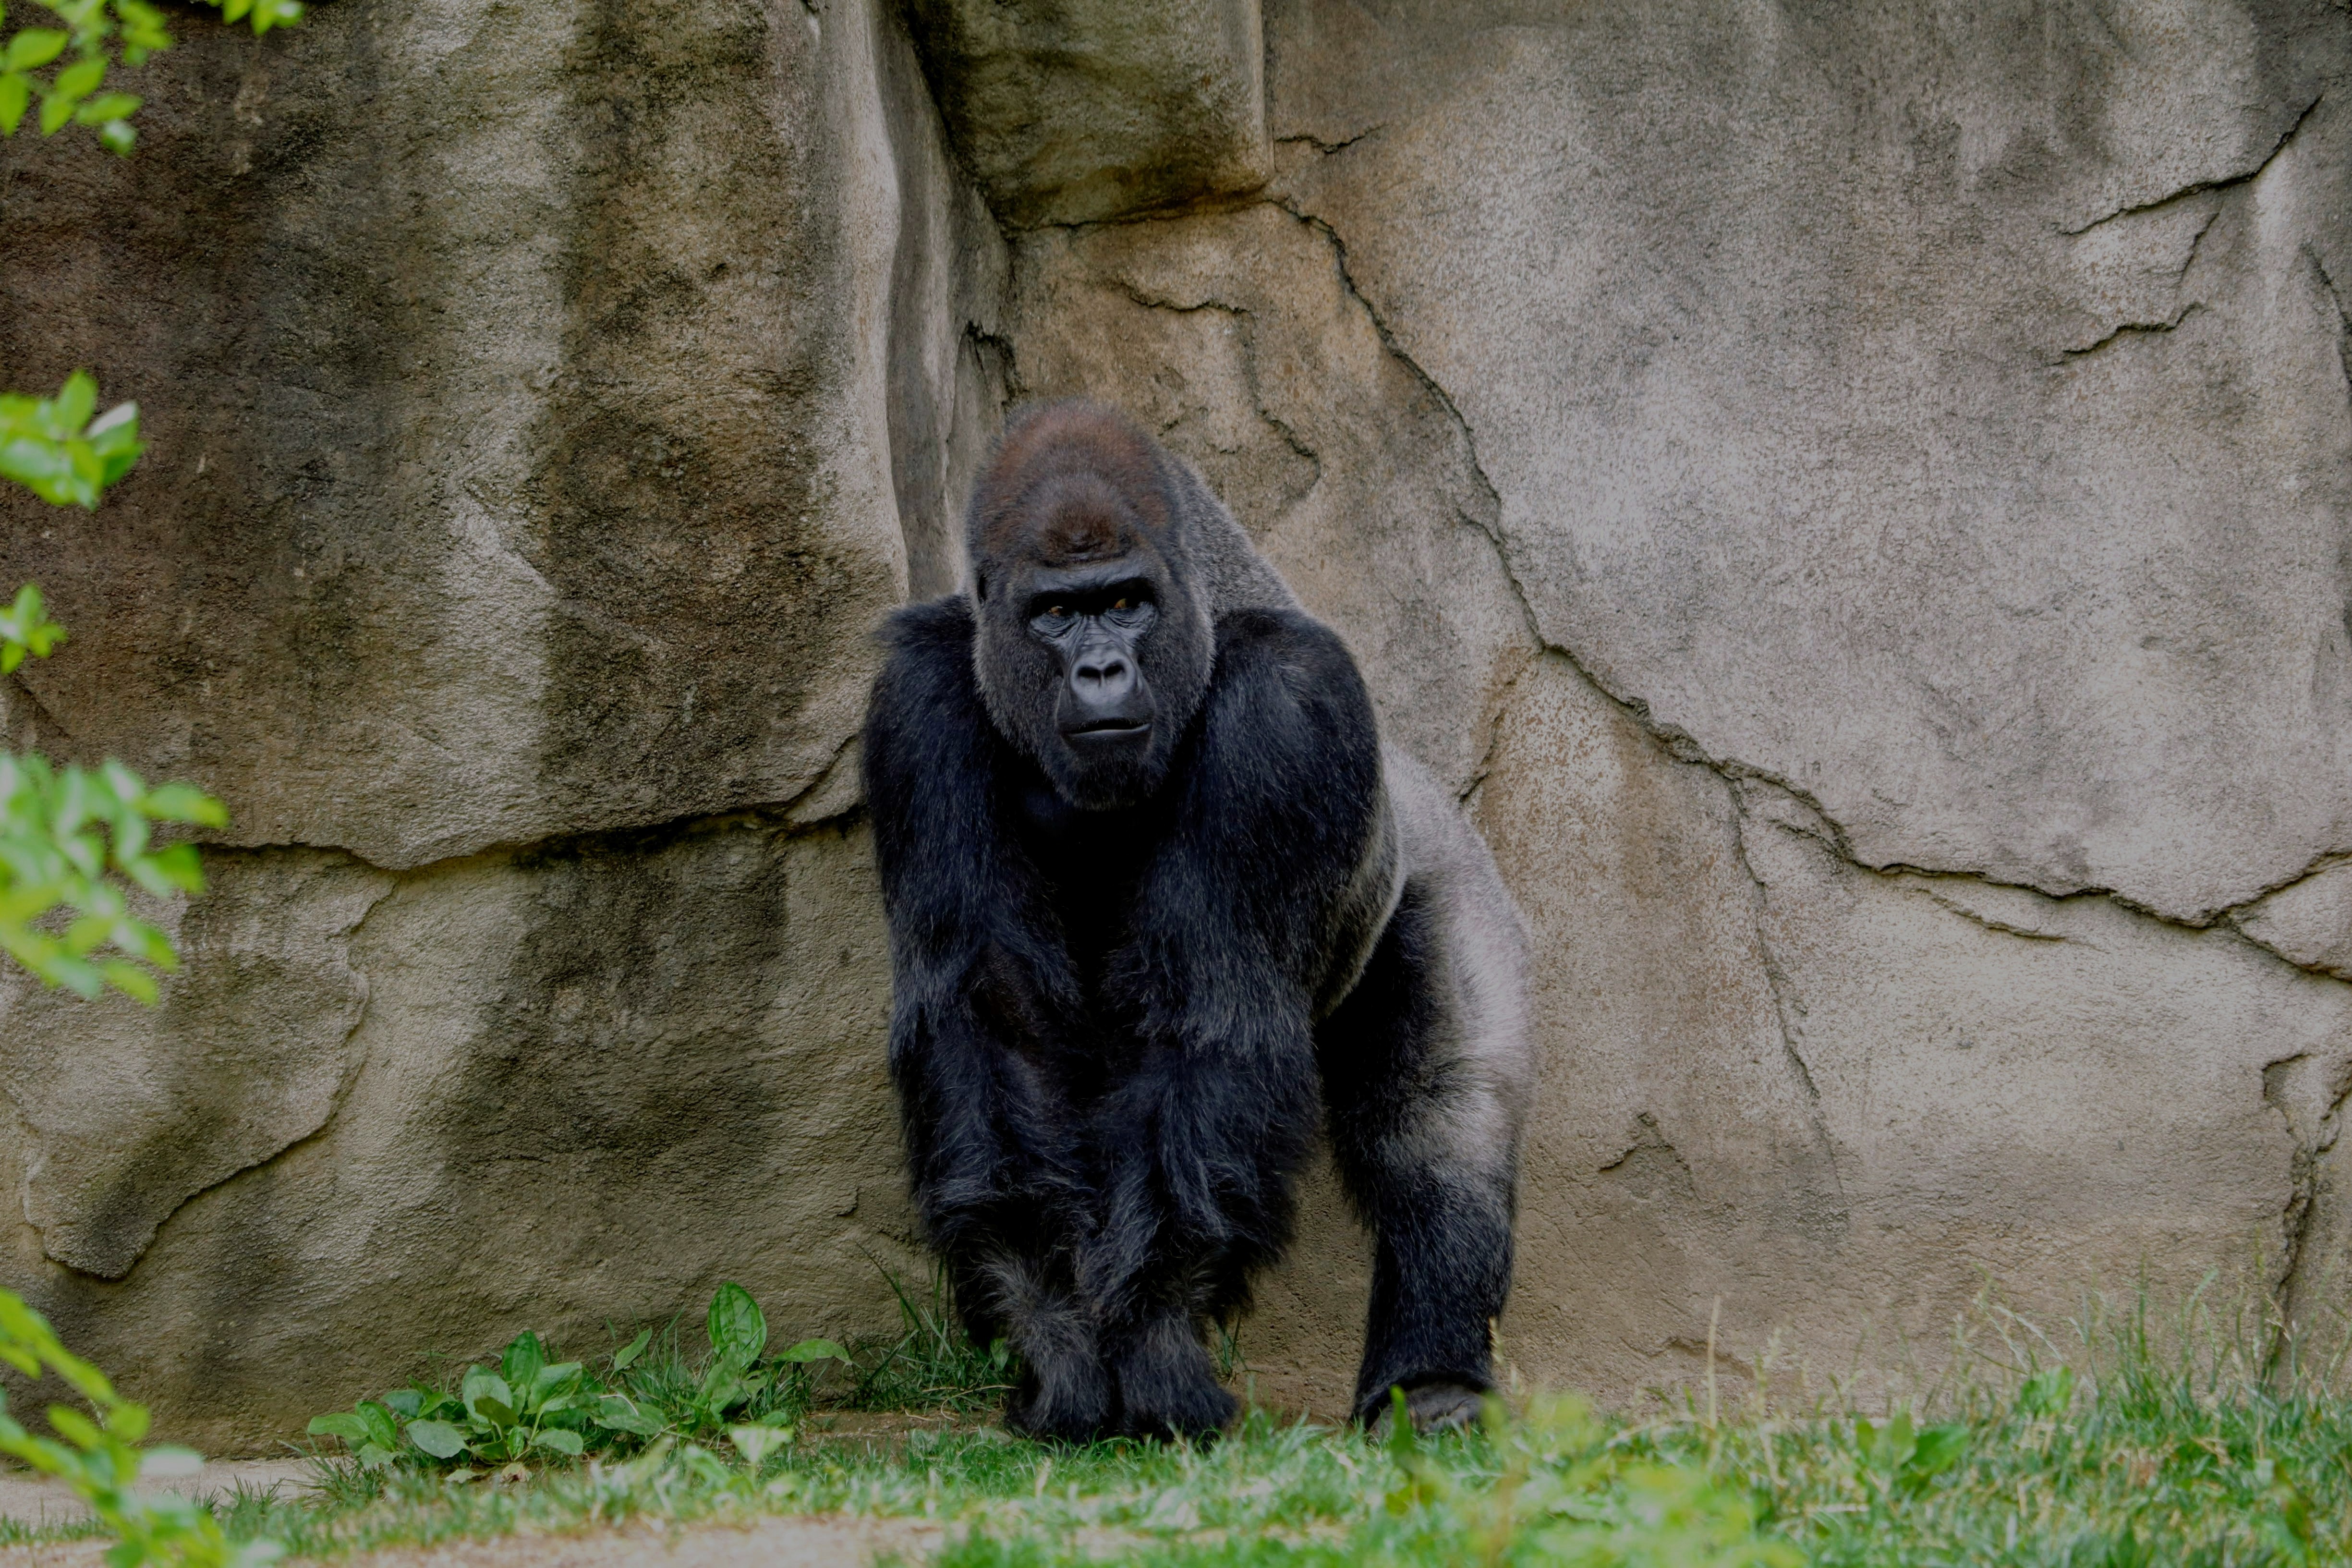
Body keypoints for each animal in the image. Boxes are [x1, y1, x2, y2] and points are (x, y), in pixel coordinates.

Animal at [865, 400, 1543, 1438]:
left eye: (1125, 604)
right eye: (1054, 614)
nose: (1101, 669)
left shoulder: (1288, 707)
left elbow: (1211, 1019)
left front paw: (1150, 1346)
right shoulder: (919, 702)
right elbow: (991, 1022)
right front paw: (1058, 1339)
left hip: (1446, 873)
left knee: (1441, 1121)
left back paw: (1432, 1379)